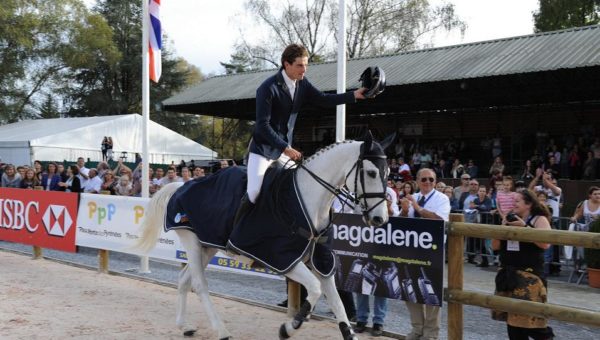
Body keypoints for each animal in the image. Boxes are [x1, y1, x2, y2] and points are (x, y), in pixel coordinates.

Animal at [134, 134, 392, 338]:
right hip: (192, 242)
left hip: (207, 245)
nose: (380, 219)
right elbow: (315, 289)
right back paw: (221, 330)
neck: (309, 201)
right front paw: (290, 327)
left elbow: (337, 303)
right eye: (371, 172)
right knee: (199, 284)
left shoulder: (320, 259)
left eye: (388, 172)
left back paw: (184, 325)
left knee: (184, 279)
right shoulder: (283, 258)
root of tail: (180, 186)